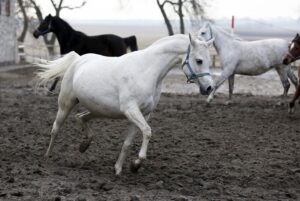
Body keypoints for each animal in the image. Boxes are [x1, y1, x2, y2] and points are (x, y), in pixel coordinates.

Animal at [35, 33, 213, 175]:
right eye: (199, 60)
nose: (209, 88)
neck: (147, 70)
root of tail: (78, 59)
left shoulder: (143, 114)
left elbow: (128, 143)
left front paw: (119, 169)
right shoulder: (131, 110)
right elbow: (147, 132)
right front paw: (136, 164)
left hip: (99, 110)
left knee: (81, 117)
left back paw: (84, 145)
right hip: (66, 103)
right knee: (56, 128)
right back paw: (47, 157)